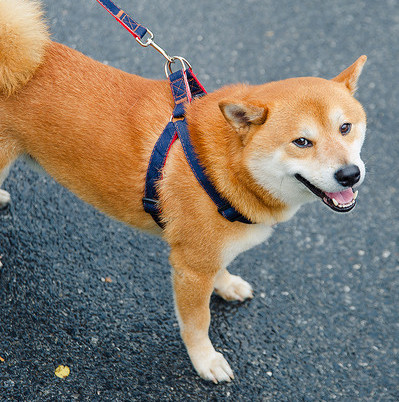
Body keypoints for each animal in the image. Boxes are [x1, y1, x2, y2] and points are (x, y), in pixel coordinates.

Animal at [0, 0, 368, 384]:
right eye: (302, 142)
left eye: (345, 128)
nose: (349, 174)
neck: (224, 167)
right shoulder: (190, 267)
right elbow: (197, 322)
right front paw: (205, 360)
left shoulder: (211, 253)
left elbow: (222, 268)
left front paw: (227, 284)